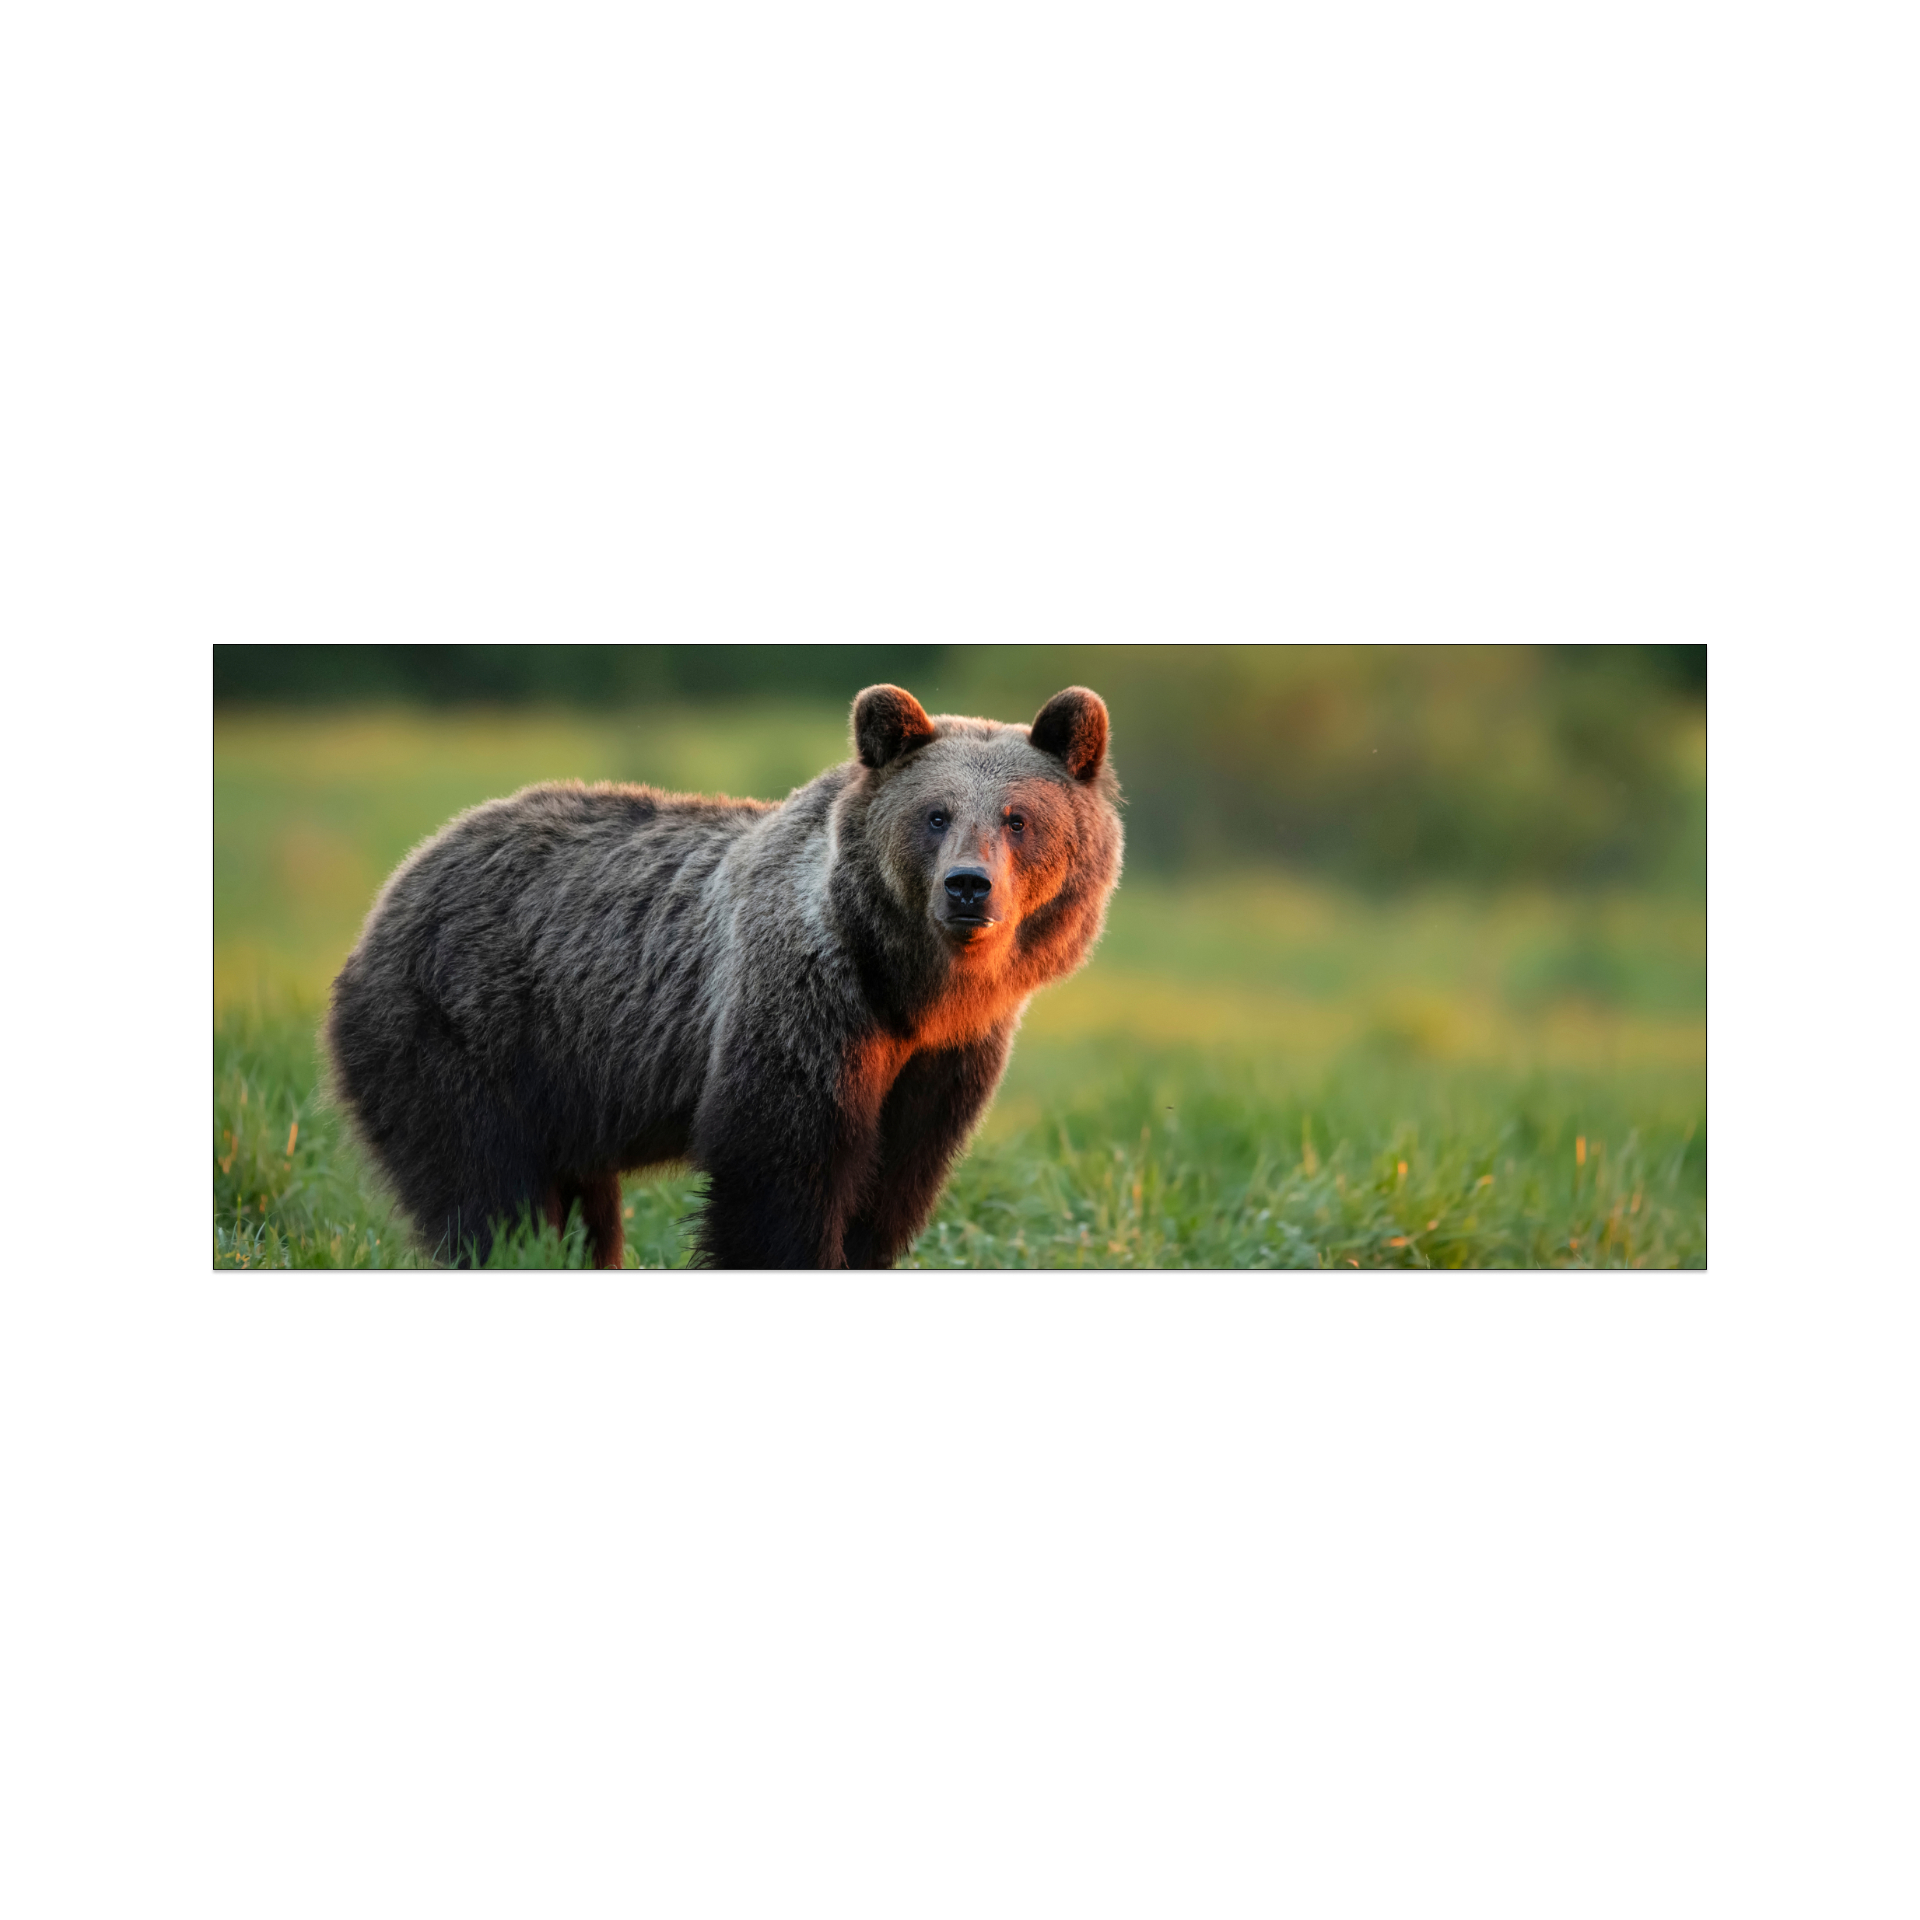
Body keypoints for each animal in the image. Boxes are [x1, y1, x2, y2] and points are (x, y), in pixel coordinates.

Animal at [322, 683, 1121, 1267]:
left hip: (560, 1081)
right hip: (465, 1033)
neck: (909, 987)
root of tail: (408, 873)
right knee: (487, 1190)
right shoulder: (806, 1005)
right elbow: (778, 1172)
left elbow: (894, 1184)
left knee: (581, 1205)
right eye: (935, 813)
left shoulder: (943, 1060)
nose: (967, 887)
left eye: (1017, 818)